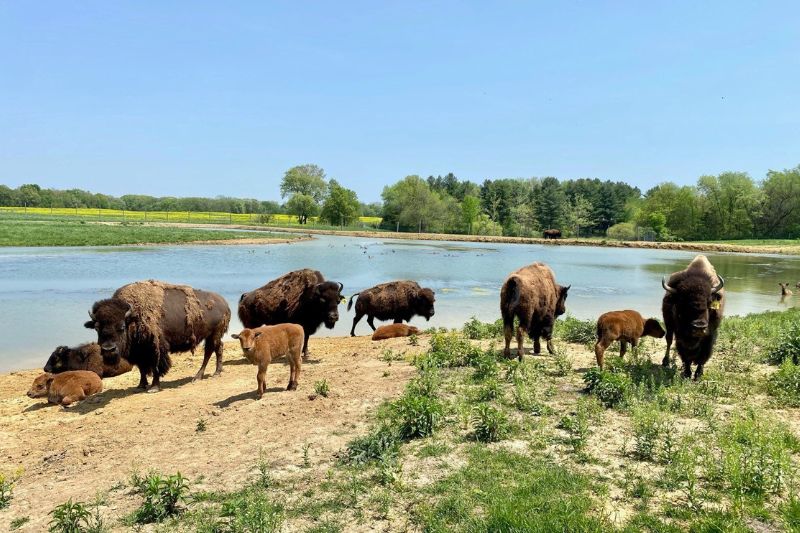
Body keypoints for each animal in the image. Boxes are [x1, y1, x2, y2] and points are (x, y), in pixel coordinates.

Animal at [85, 280, 231, 392]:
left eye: (121, 327)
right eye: (97, 328)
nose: (108, 349)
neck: (133, 318)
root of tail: (224, 303)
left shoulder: (156, 348)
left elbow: (156, 367)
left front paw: (154, 387)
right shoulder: (138, 352)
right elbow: (142, 369)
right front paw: (141, 385)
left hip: (214, 334)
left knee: (211, 351)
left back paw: (202, 375)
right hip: (211, 336)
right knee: (216, 349)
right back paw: (213, 373)